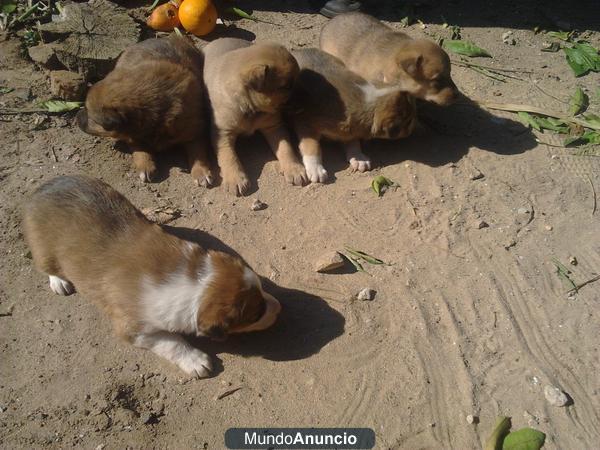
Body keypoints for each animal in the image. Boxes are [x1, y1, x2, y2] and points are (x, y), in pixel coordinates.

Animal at [23, 175, 282, 376]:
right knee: (45, 265)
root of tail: (44, 186)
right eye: (256, 314)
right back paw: (59, 281)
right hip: (43, 249)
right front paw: (195, 361)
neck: (196, 281)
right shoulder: (132, 330)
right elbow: (171, 342)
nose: (279, 308)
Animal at [77, 34, 213, 186]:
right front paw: (145, 165)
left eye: (90, 115)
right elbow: (139, 148)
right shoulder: (131, 134)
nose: (76, 116)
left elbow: (198, 153)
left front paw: (201, 172)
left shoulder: (195, 130)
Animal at [203, 37, 308, 195]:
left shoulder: (274, 126)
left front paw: (294, 168)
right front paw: (235, 179)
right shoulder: (222, 134)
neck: (251, 108)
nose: (308, 99)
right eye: (286, 87)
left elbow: (286, 148)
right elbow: (229, 156)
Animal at [286, 48, 418, 182]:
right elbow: (311, 145)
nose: (414, 128)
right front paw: (316, 169)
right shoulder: (305, 121)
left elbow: (353, 140)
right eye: (408, 121)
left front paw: (358, 157)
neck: (367, 101)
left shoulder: (350, 127)